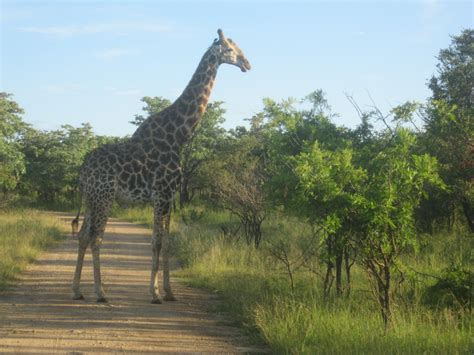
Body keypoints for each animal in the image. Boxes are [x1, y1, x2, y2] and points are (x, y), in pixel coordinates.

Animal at [71, 29, 252, 304]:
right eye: (230, 49)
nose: (247, 64)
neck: (179, 136)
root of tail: (83, 170)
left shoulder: (171, 196)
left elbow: (167, 241)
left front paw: (169, 292)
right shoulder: (161, 194)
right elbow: (156, 241)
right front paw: (154, 293)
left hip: (91, 197)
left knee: (82, 236)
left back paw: (77, 290)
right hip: (105, 196)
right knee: (96, 237)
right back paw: (100, 292)